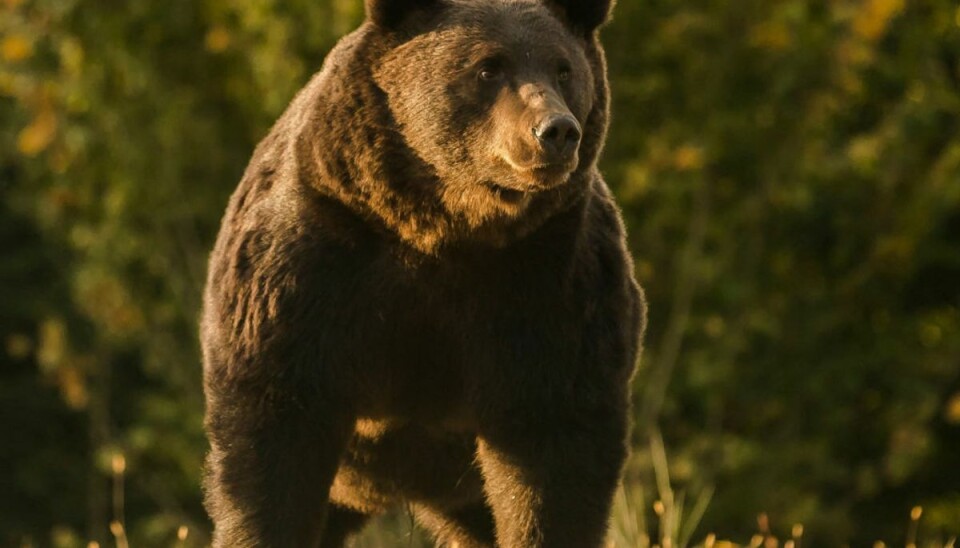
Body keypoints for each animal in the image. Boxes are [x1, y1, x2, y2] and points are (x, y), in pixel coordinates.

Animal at [201, 0, 644, 544]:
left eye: (563, 68)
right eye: (487, 67)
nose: (555, 130)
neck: (443, 227)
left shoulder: (548, 279)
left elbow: (554, 446)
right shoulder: (314, 261)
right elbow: (275, 440)